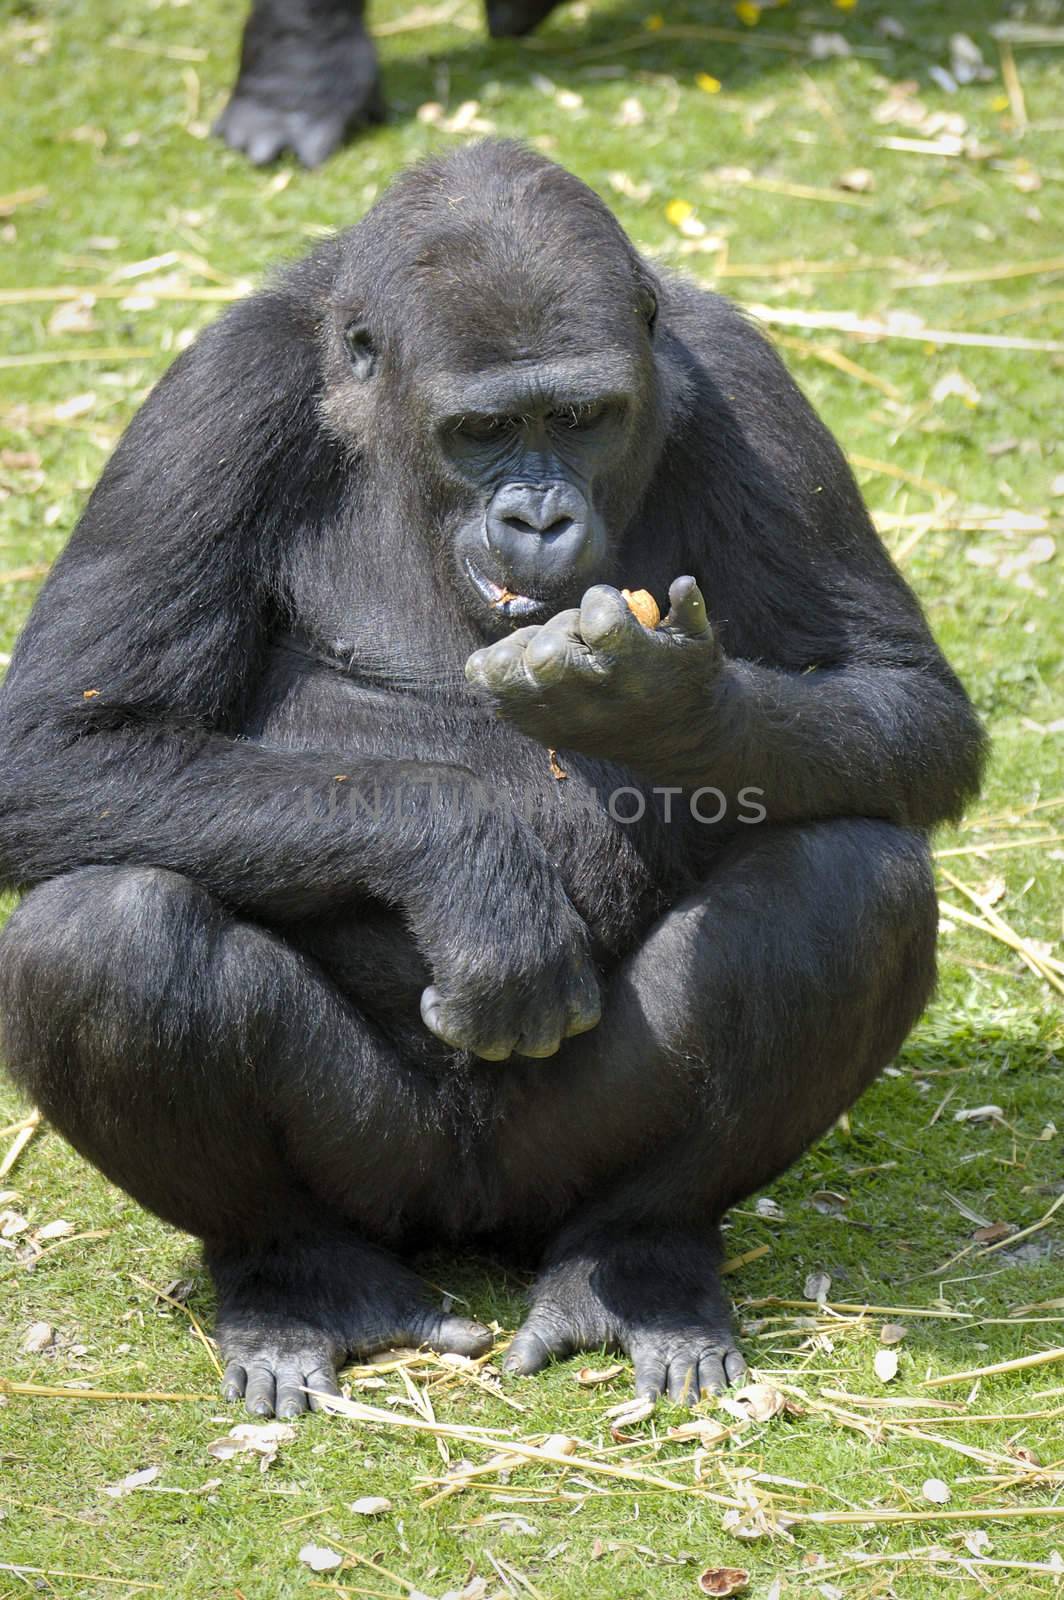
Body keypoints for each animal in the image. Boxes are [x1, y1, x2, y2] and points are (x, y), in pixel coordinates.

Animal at [0, 140, 985, 1414]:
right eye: (480, 431)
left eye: (578, 418)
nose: (538, 516)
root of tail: (469, 1218)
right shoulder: (211, 401)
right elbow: (64, 742)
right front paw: (468, 864)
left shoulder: (747, 384)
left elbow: (902, 700)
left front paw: (671, 709)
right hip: (384, 1177)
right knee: (106, 931)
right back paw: (300, 1279)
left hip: (550, 1174)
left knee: (849, 887)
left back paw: (637, 1261)